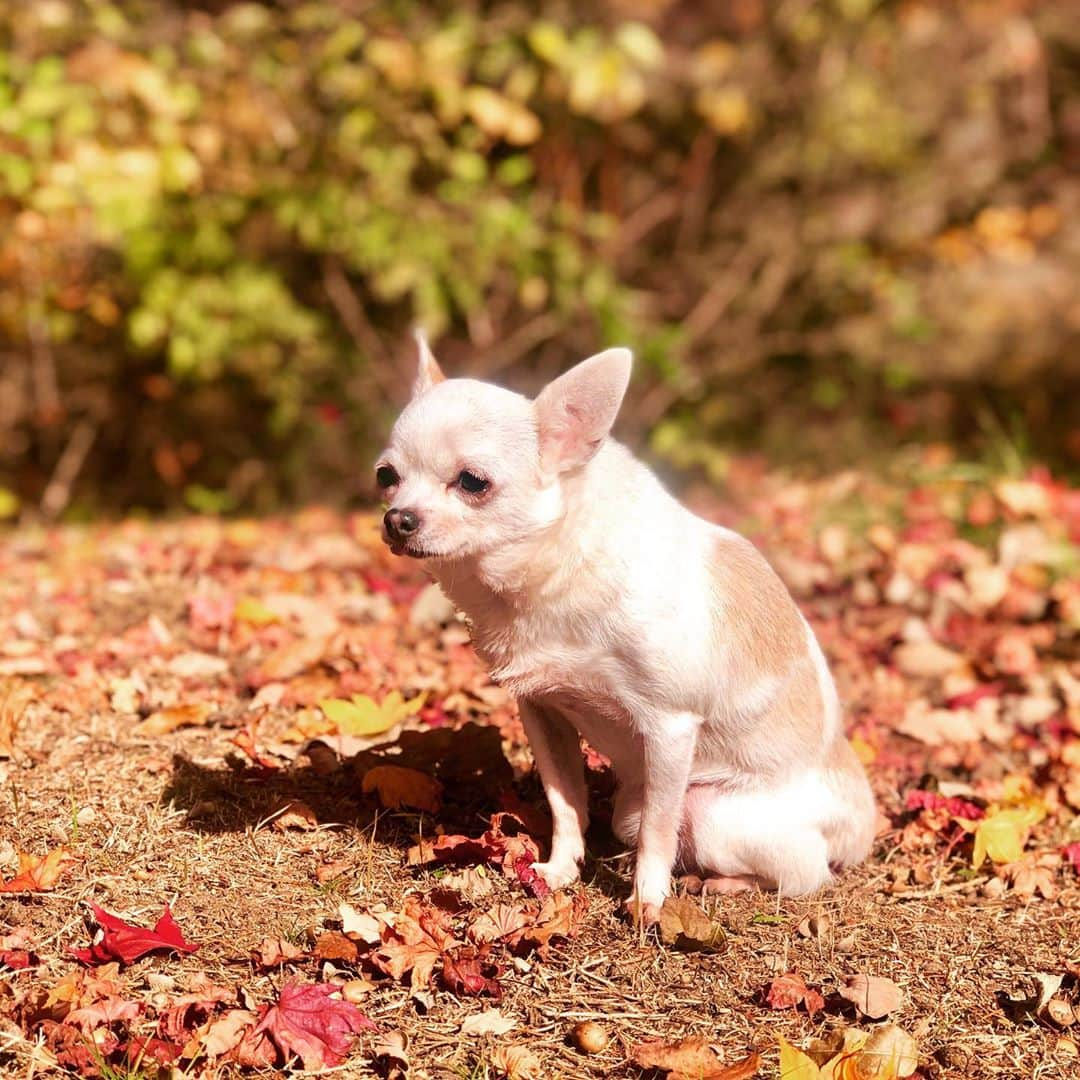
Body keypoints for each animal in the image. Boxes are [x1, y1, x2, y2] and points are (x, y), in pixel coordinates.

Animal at [380, 334, 876, 920]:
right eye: (386, 477)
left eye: (472, 482)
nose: (397, 519)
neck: (547, 577)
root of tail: (858, 821)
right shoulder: (542, 710)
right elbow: (565, 801)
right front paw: (560, 869)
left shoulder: (669, 729)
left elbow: (659, 832)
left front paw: (646, 901)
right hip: (633, 807)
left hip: (712, 811)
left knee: (805, 875)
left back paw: (723, 884)